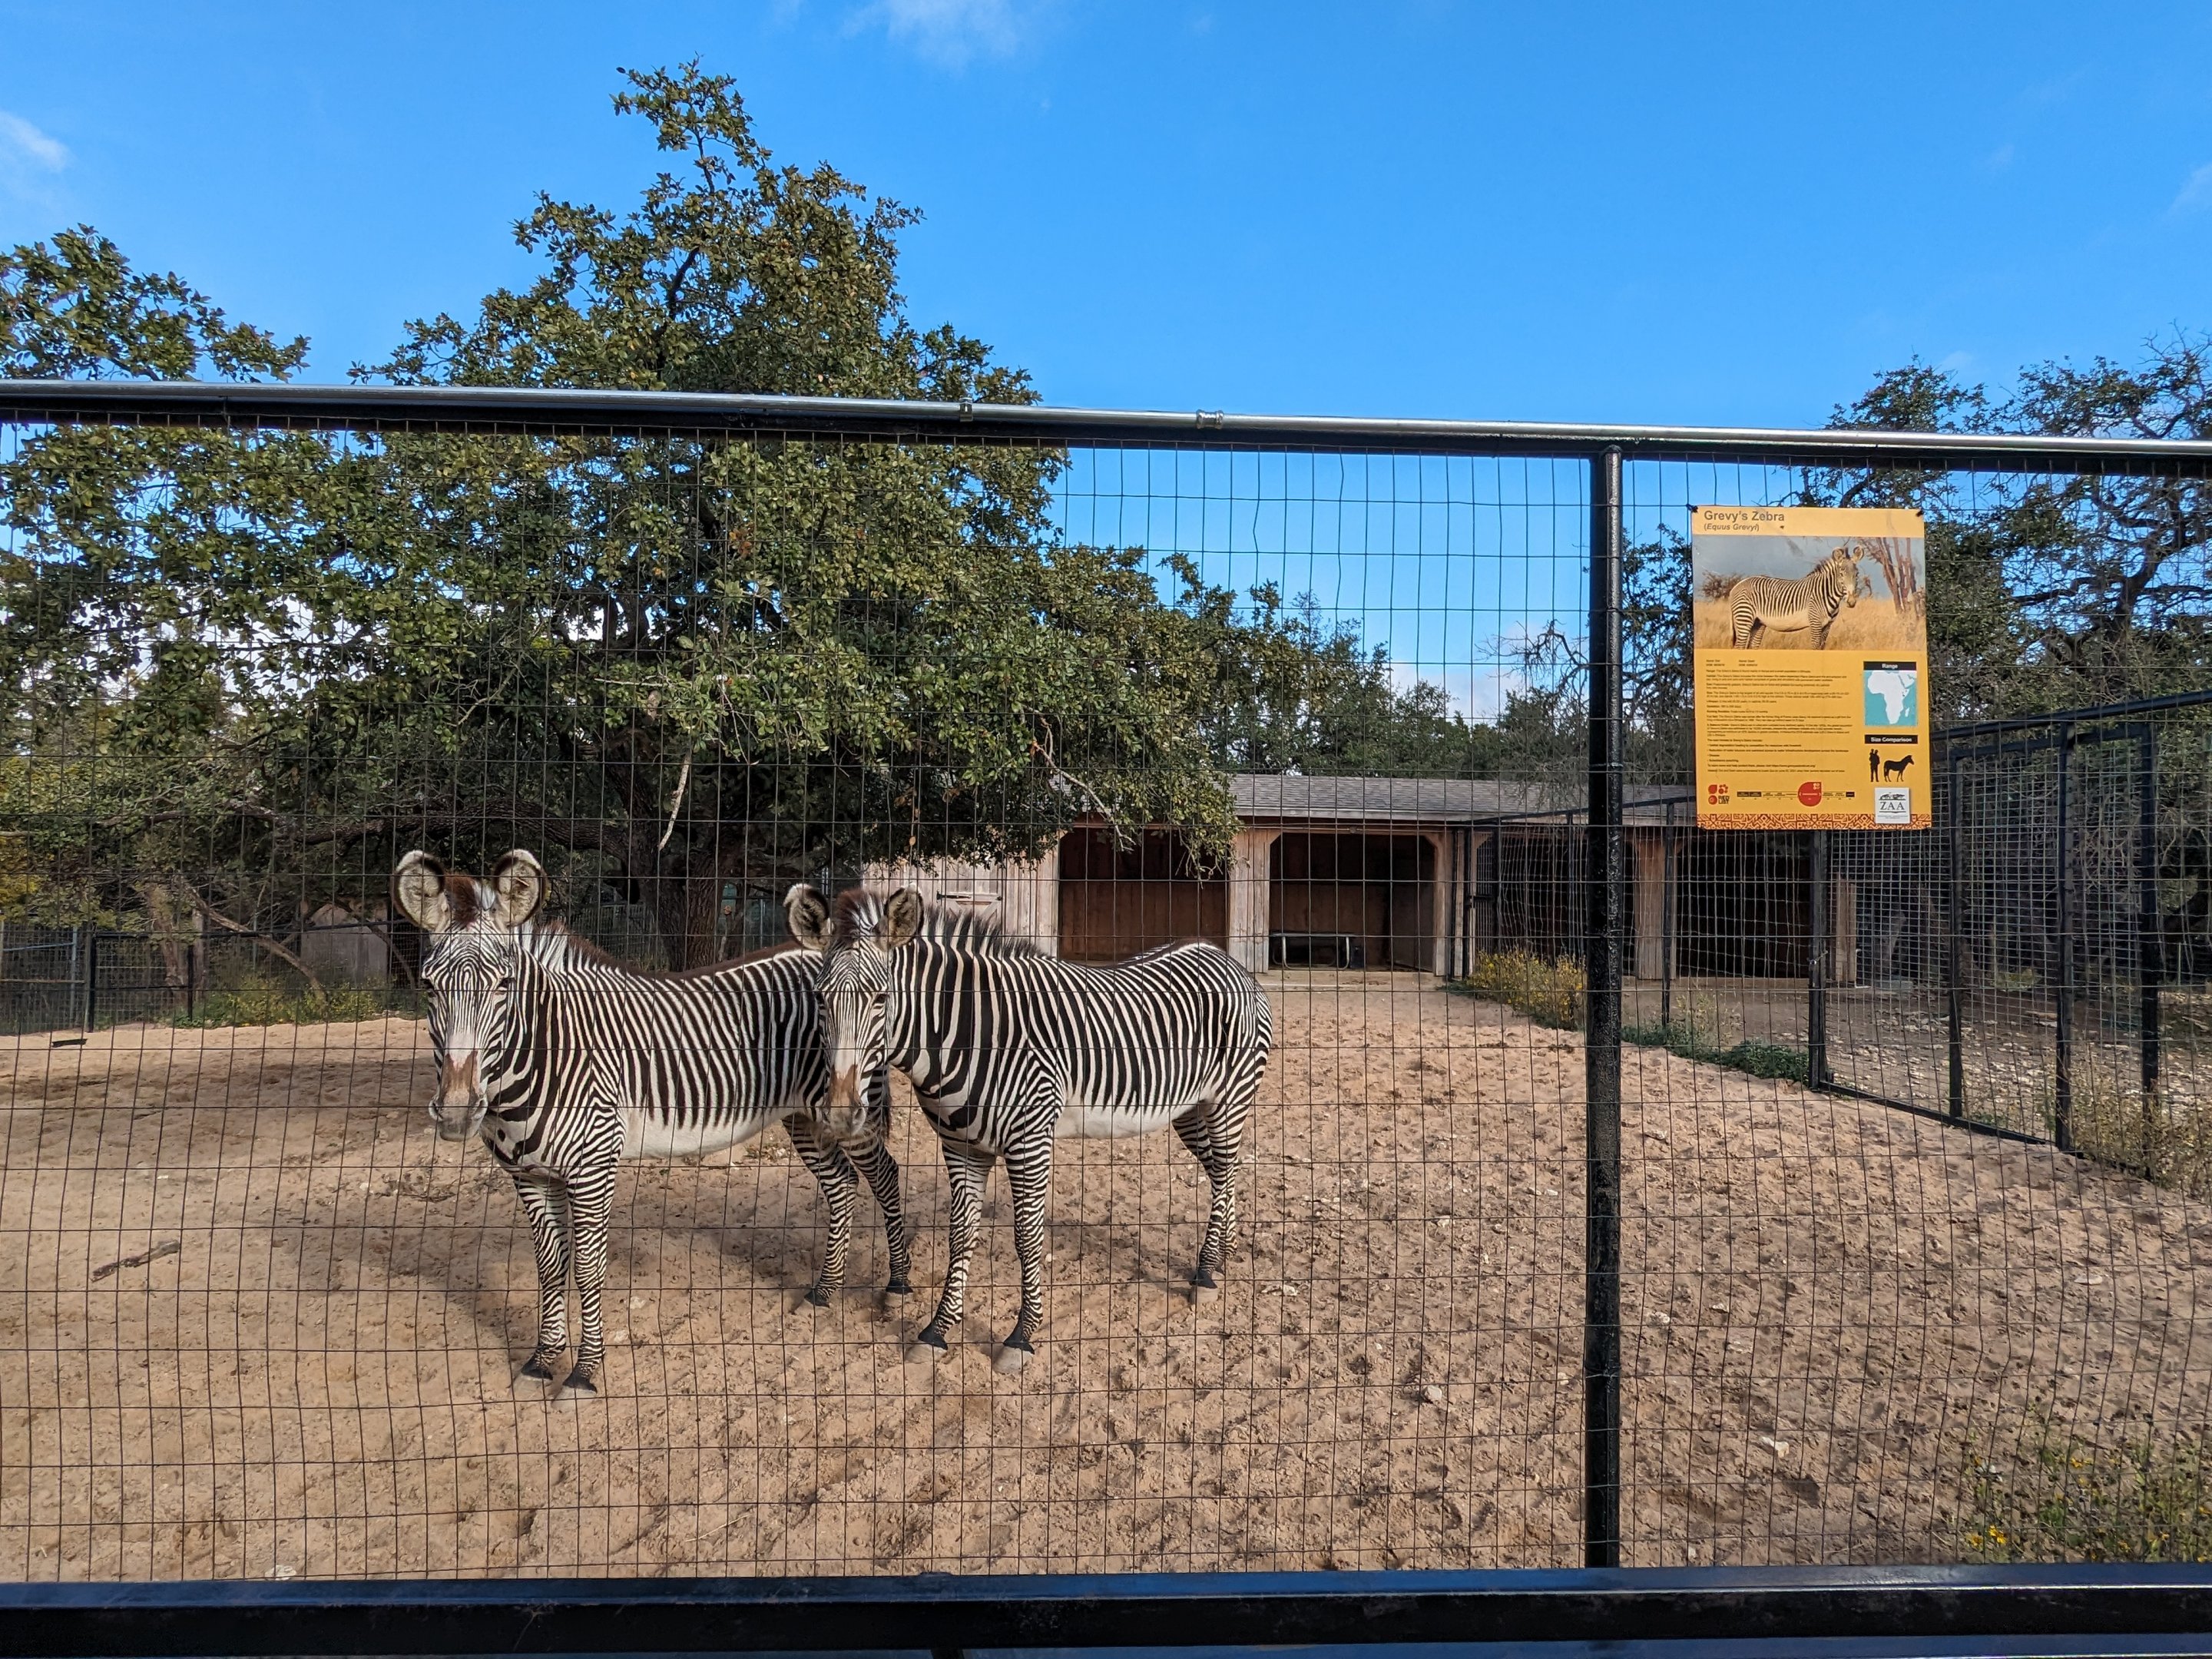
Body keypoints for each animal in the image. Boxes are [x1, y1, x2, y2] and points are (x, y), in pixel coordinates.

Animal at [392, 849, 912, 1402]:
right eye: (429, 986)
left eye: (504, 986)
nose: (457, 1111)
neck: (544, 1055)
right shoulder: (529, 1175)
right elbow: (550, 1268)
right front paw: (541, 1361)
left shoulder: (593, 1166)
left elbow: (588, 1268)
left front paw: (584, 1372)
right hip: (804, 1115)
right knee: (841, 1185)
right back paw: (824, 1291)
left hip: (846, 1109)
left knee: (884, 1175)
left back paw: (898, 1284)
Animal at [785, 884, 1273, 1375]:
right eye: (820, 999)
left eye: (881, 998)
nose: (841, 1114)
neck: (973, 1034)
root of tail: (1222, 955)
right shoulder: (961, 1146)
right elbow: (960, 1236)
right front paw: (937, 1331)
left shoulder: (1030, 1141)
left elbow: (1028, 1238)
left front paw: (1021, 1336)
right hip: (1189, 1108)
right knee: (1219, 1172)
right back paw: (1224, 1253)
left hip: (1230, 1097)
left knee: (1225, 1168)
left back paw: (1207, 1273)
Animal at [1727, 547, 1868, 649]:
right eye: (1841, 574)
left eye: (1857, 574)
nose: (1851, 602)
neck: (1826, 593)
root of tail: (1738, 584)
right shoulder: (1815, 623)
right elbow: (1815, 648)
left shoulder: (1827, 626)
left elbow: (1822, 648)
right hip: (1744, 618)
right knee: (1739, 647)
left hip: (1758, 623)